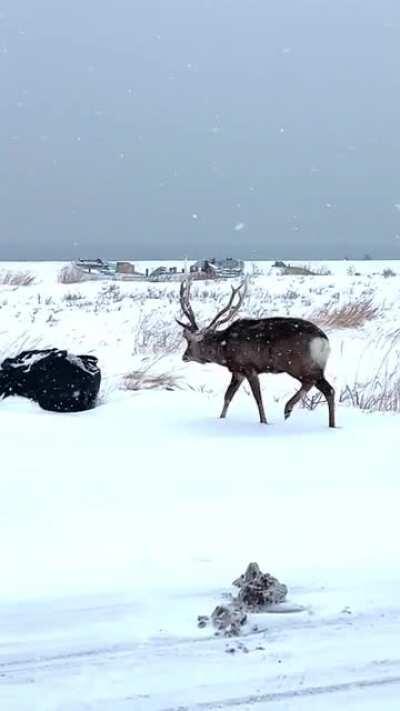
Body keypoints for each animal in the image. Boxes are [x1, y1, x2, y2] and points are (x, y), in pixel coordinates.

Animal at [177, 279, 335, 427]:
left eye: (190, 342)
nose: (184, 356)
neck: (224, 350)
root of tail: (324, 341)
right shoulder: (238, 371)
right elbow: (228, 396)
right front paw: (221, 418)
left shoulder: (249, 367)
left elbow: (258, 398)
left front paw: (264, 422)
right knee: (327, 389)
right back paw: (330, 424)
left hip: (299, 365)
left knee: (318, 385)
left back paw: (288, 408)